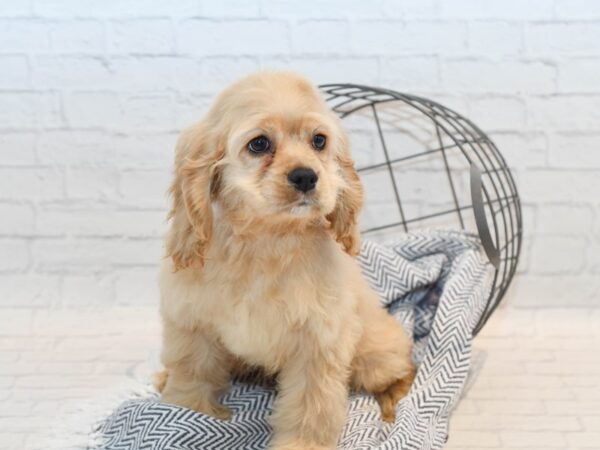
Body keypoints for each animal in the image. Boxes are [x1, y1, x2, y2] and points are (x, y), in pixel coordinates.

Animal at [157, 72, 414, 448]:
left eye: (319, 141)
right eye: (259, 144)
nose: (306, 176)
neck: (264, 243)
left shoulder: (317, 343)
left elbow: (311, 407)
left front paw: (301, 444)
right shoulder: (192, 324)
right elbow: (192, 372)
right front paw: (186, 409)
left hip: (375, 354)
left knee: (402, 369)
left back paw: (393, 403)